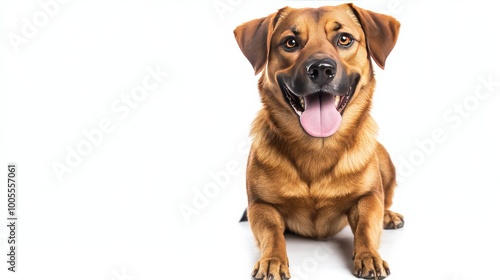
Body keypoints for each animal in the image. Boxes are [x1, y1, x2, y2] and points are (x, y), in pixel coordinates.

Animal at [236, 2, 404, 280]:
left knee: (385, 199)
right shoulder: (261, 206)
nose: (322, 69)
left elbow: (367, 226)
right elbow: (272, 232)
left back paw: (388, 215)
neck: (317, 148)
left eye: (344, 39)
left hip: (386, 162)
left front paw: (369, 255)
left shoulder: (368, 198)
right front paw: (273, 259)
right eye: (291, 42)